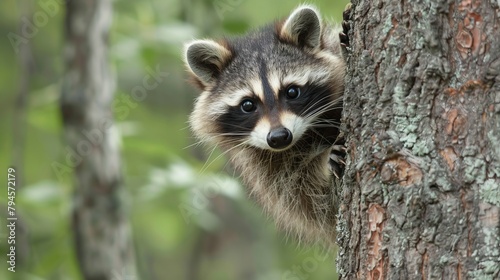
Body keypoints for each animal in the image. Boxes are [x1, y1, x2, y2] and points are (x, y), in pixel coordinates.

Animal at [183, 4, 348, 245]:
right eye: (248, 104)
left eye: (292, 91)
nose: (279, 137)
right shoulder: (264, 167)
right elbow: (314, 204)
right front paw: (324, 166)